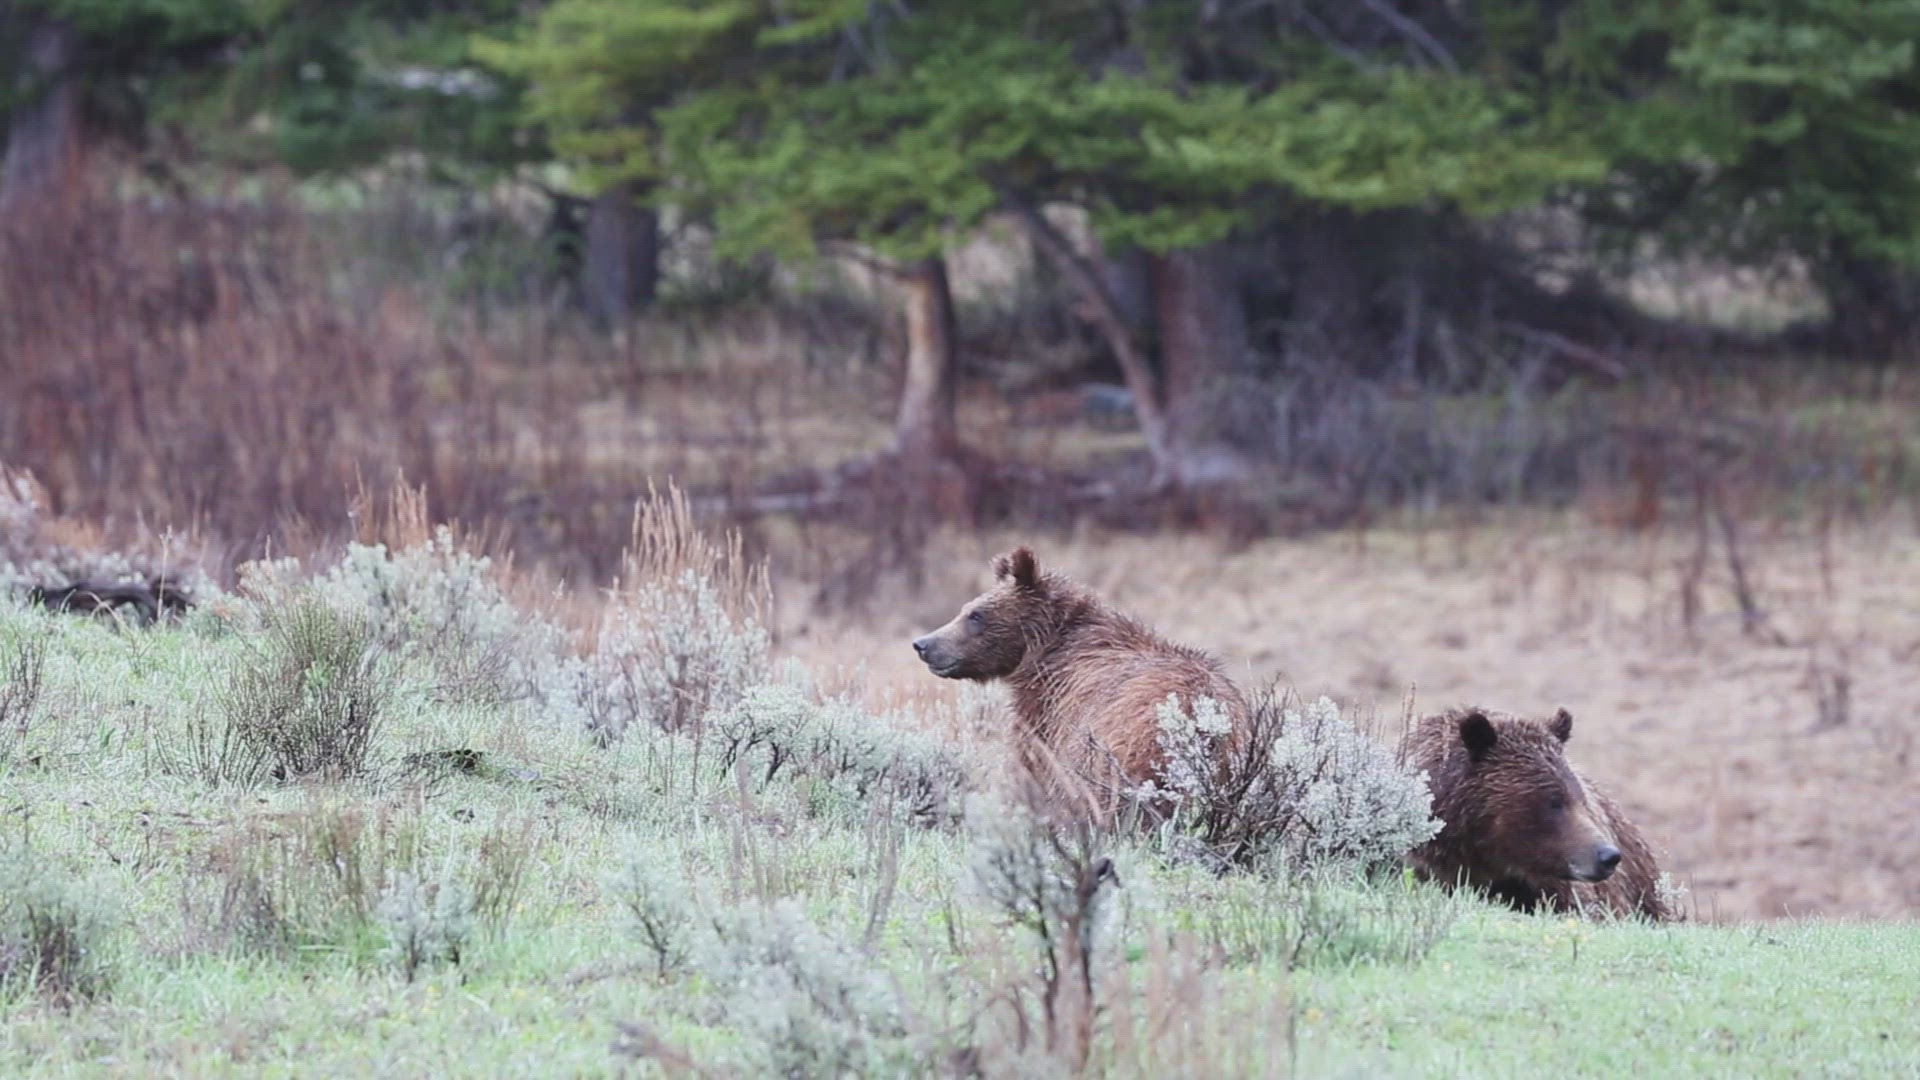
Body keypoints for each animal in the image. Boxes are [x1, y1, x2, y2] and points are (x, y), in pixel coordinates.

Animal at [911, 546, 1248, 811]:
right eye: (967, 609)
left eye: (976, 615)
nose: (924, 644)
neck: (1046, 650)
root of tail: (1201, 722)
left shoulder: (1048, 710)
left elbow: (1034, 765)